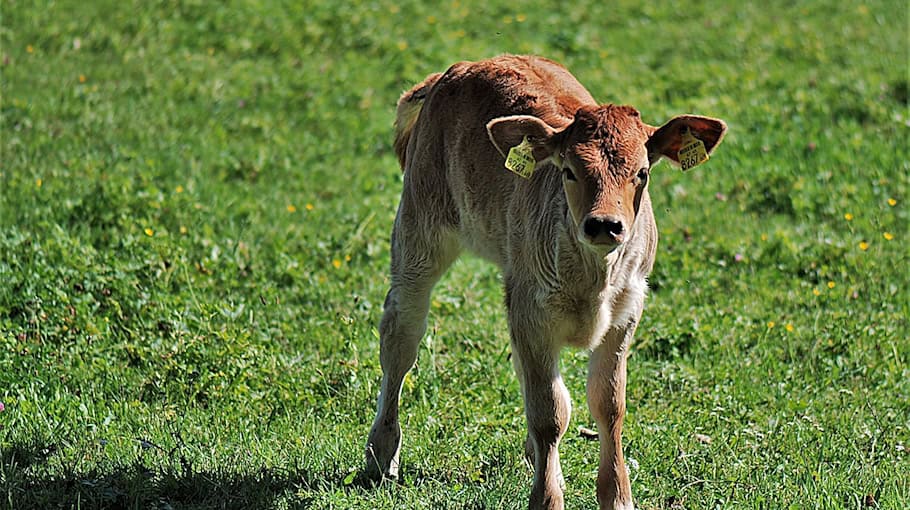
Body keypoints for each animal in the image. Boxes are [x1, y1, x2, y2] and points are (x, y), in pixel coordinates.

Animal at [364, 53, 728, 508]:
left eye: (642, 172)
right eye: (569, 171)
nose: (604, 225)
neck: (592, 281)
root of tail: (463, 66)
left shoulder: (626, 309)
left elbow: (608, 403)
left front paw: (616, 494)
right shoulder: (531, 309)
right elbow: (550, 412)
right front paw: (546, 497)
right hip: (420, 228)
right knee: (400, 338)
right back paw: (381, 454)